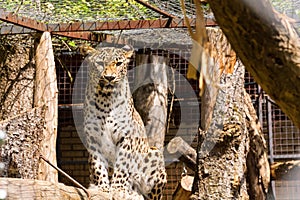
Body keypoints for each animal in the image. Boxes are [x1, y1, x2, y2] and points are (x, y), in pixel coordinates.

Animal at [81, 45, 166, 200]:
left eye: (118, 64)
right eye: (100, 63)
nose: (109, 77)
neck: (106, 100)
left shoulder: (126, 137)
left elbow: (122, 165)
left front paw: (118, 189)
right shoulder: (93, 139)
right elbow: (98, 166)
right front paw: (103, 188)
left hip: (154, 154)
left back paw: (132, 192)